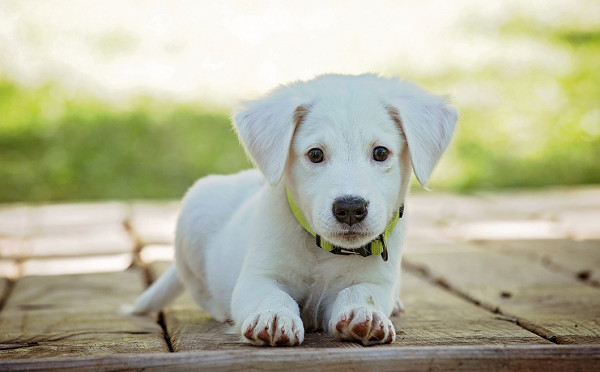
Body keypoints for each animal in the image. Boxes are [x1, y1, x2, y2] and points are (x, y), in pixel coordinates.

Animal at [134, 72, 458, 346]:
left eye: (380, 153)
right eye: (315, 154)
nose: (350, 208)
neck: (322, 251)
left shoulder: (377, 281)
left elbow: (361, 292)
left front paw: (363, 314)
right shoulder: (257, 277)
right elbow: (272, 295)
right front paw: (274, 316)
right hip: (194, 214)